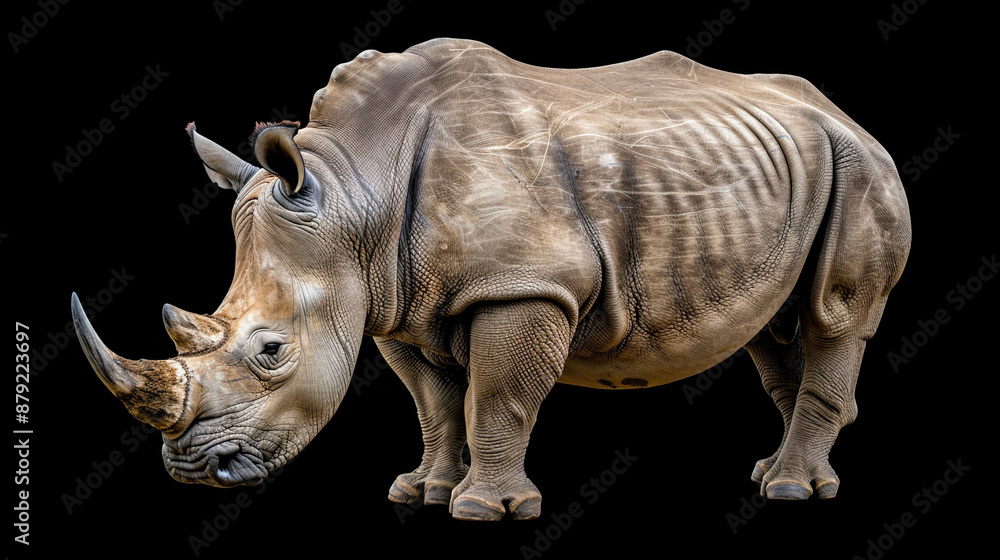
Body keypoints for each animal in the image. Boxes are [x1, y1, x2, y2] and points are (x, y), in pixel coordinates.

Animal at [71, 38, 910, 521]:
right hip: (792, 171)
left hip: (860, 164)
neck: (355, 193)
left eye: (271, 352)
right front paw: (422, 493)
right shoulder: (393, 301)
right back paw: (779, 471)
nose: (193, 473)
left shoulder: (524, 284)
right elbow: (436, 405)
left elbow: (497, 397)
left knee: (835, 313)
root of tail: (842, 111)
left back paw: (792, 491)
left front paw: (484, 510)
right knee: (774, 324)